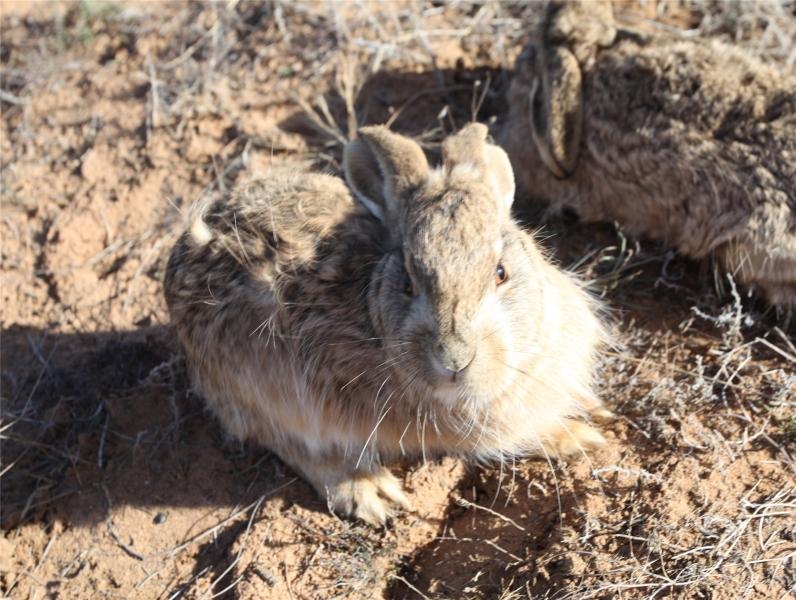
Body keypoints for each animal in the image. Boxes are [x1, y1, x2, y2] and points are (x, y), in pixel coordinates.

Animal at [165, 123, 608, 524]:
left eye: (500, 272)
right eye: (408, 283)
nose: (454, 360)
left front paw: (593, 410)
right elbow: (524, 434)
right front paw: (578, 437)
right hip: (267, 390)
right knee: (291, 442)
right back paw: (367, 491)